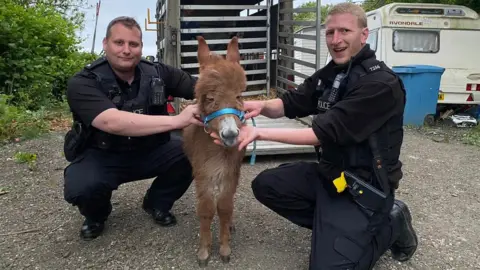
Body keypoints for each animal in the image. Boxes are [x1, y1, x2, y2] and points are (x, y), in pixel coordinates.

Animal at [181, 35, 248, 266]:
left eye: (239, 96)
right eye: (209, 98)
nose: (230, 135)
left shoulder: (230, 172)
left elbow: (225, 207)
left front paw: (225, 248)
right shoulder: (203, 173)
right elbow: (206, 209)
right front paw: (204, 250)